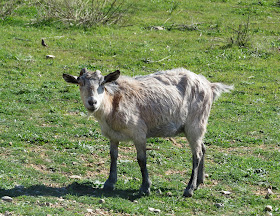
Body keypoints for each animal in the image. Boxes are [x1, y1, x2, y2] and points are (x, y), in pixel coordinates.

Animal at [62, 68, 233, 197]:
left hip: (195, 123)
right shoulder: (113, 136)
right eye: (80, 83)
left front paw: (145, 187)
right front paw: (109, 182)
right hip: (196, 126)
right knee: (203, 148)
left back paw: (189, 189)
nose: (92, 102)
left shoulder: (139, 133)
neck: (113, 103)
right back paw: (199, 181)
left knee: (196, 154)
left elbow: (141, 160)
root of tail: (209, 86)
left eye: (102, 84)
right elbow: (113, 156)